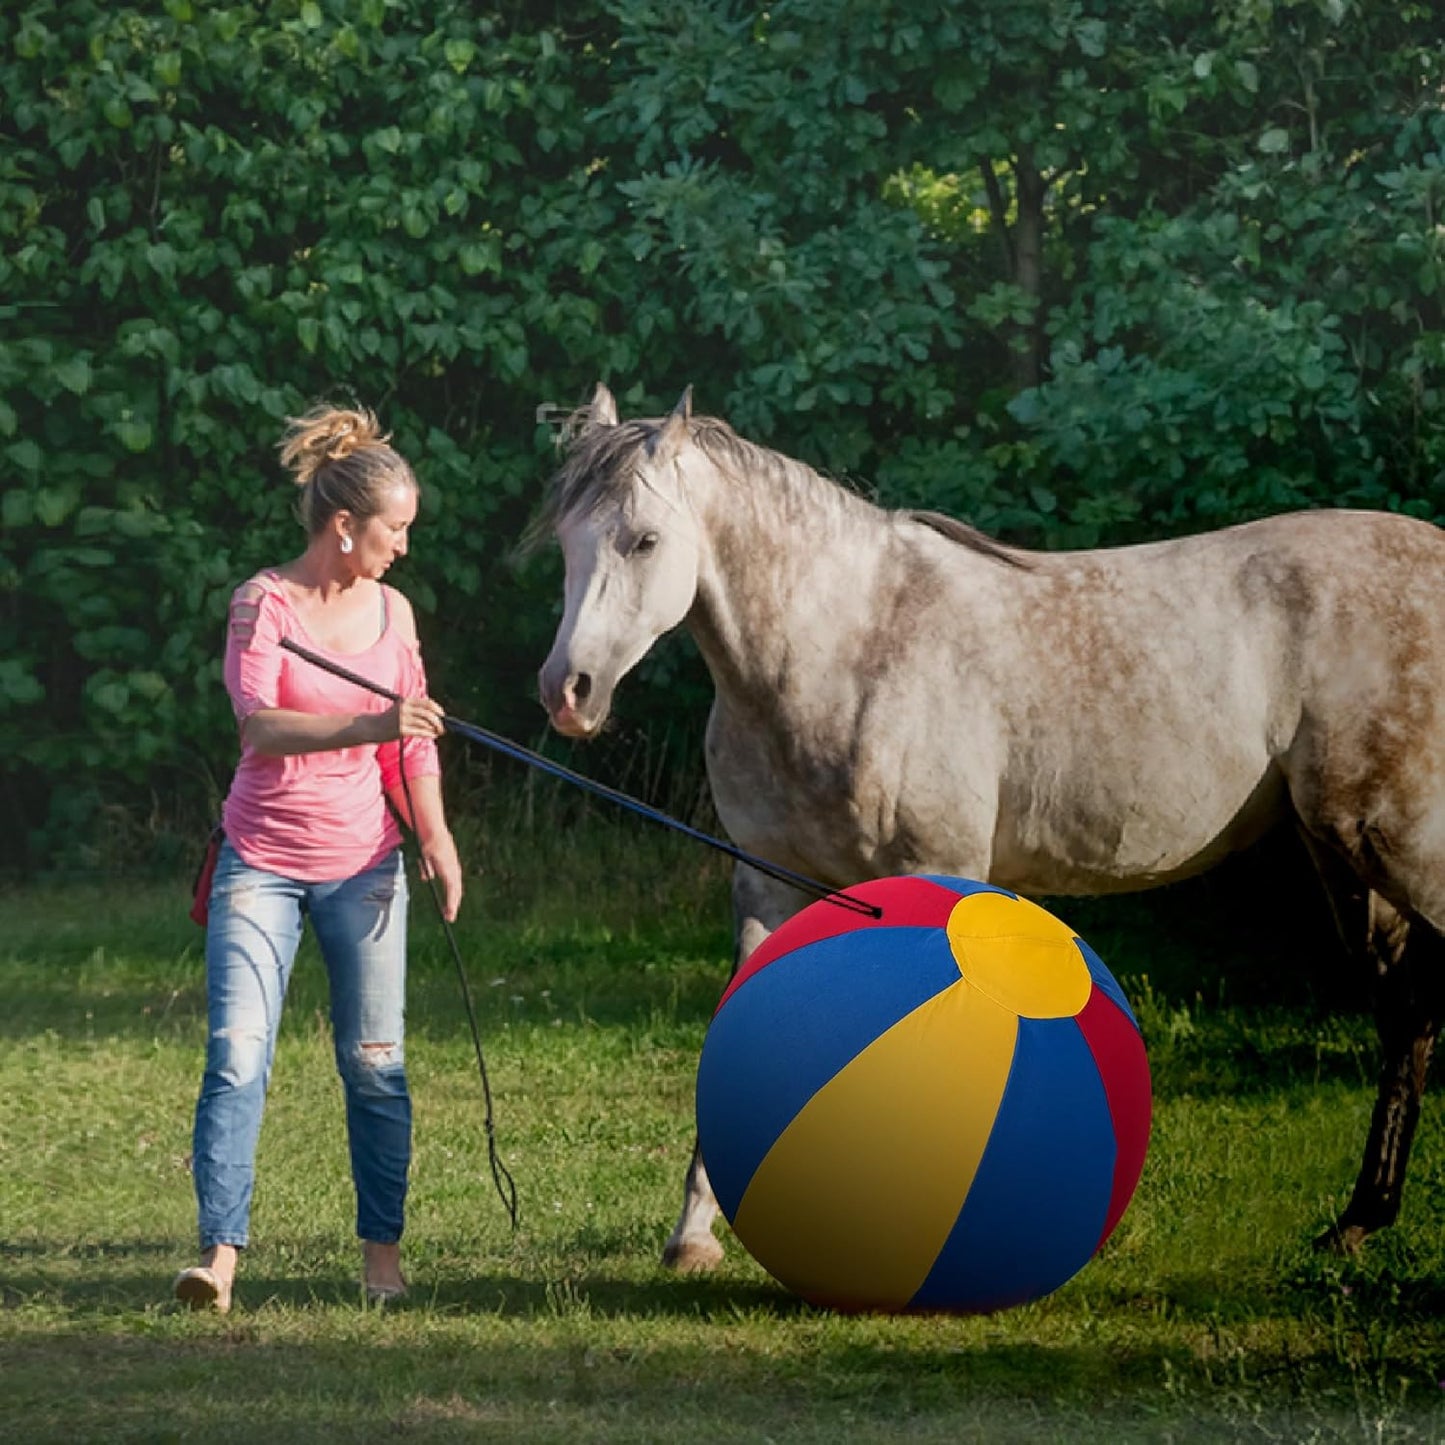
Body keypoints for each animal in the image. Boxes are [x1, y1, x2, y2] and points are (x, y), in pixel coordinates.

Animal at [536, 382, 1445, 1273]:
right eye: (566, 543)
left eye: (645, 540)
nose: (567, 691)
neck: (847, 649)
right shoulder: (767, 881)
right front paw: (694, 1235)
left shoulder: (936, 868)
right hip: (1348, 862)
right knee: (1404, 1018)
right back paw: (1356, 1222)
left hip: (1396, 847)